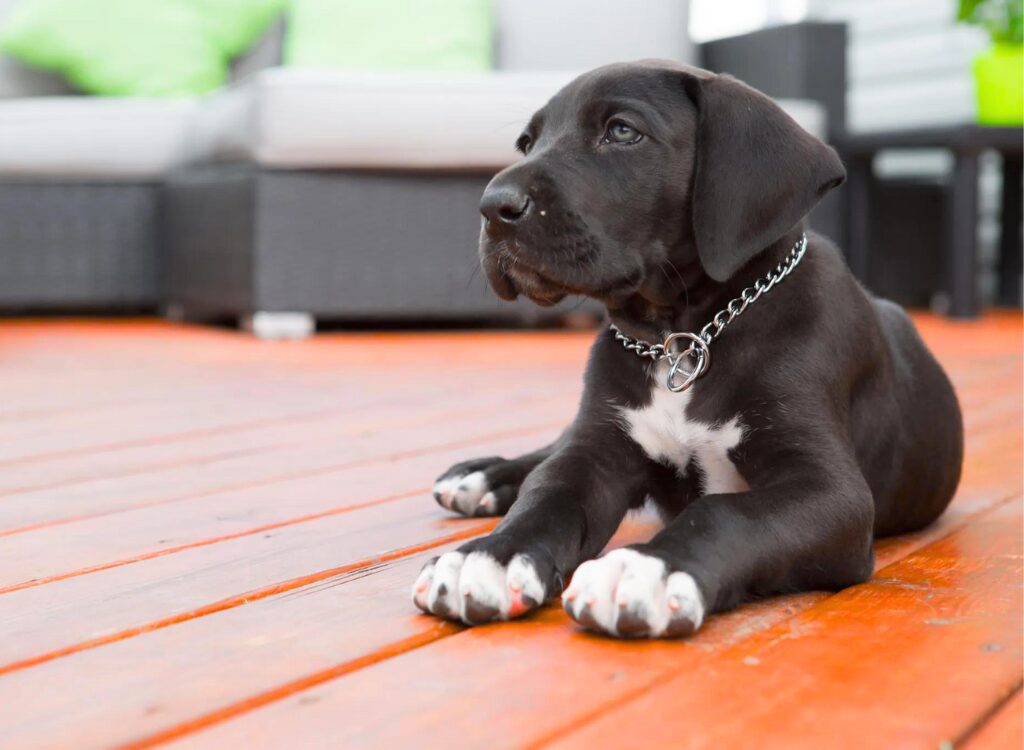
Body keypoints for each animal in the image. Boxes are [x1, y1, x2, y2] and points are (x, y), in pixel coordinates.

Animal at [411, 61, 962, 639]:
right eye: (526, 143)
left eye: (622, 131)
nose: (493, 207)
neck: (682, 339)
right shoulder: (597, 450)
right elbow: (548, 490)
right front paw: (490, 555)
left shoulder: (833, 492)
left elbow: (723, 512)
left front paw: (648, 568)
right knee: (549, 451)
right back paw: (485, 476)